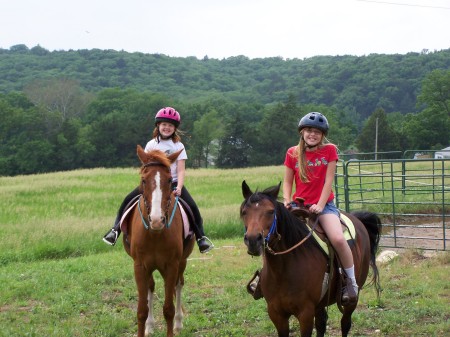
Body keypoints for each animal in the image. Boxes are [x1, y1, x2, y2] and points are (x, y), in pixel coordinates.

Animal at [122, 146, 194, 336]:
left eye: (169, 180)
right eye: (143, 180)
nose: (156, 220)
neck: (155, 234)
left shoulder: (172, 264)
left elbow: (168, 309)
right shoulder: (140, 266)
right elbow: (141, 310)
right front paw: (145, 326)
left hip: (181, 262)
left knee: (179, 284)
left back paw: (178, 323)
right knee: (151, 286)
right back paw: (150, 325)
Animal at [241, 181, 382, 336]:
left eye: (271, 211)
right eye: (244, 212)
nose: (253, 240)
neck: (283, 270)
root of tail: (358, 220)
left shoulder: (305, 313)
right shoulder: (276, 313)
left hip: (352, 299)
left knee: (345, 323)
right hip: (319, 304)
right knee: (321, 323)